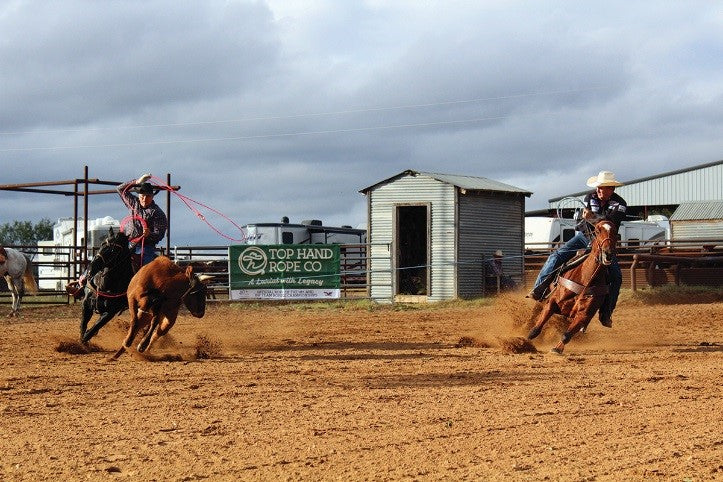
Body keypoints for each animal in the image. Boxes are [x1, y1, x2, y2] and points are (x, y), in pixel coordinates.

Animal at [528, 219, 620, 354]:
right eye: (597, 231)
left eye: (615, 231)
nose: (607, 253)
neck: (586, 279)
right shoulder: (552, 301)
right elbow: (535, 329)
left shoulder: (584, 315)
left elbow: (566, 335)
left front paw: (557, 349)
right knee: (535, 312)